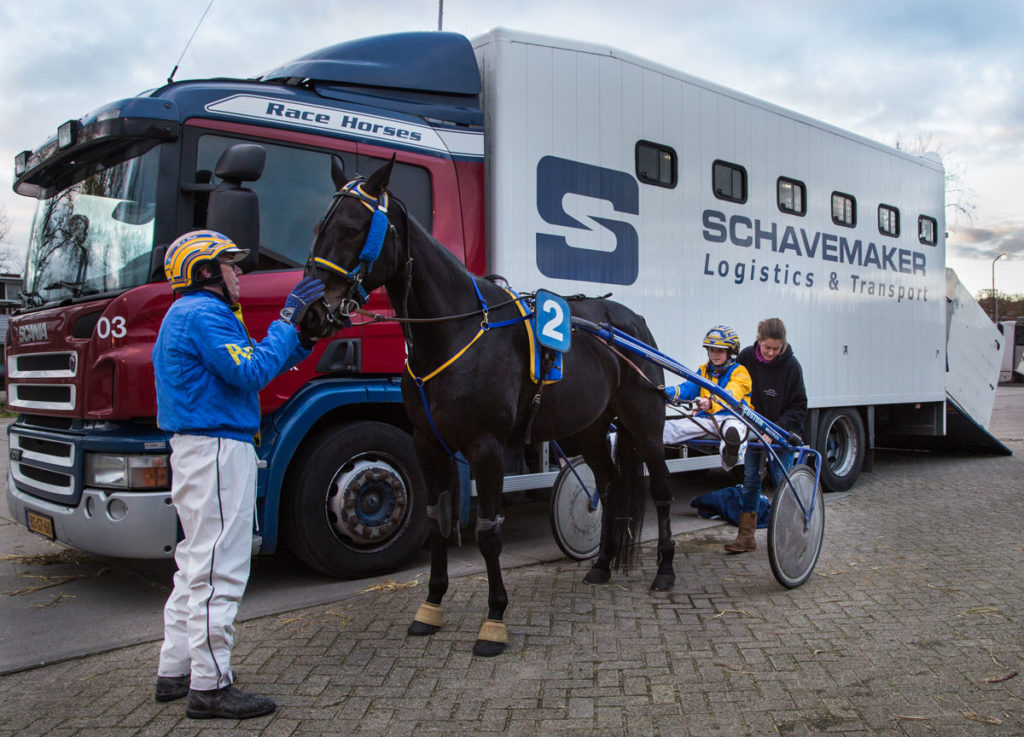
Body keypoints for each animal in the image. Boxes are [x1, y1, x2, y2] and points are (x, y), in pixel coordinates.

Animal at [299, 156, 675, 655]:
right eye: (319, 226)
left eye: (353, 227)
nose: (310, 314)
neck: (455, 332)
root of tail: (632, 323)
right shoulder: (428, 444)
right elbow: (436, 521)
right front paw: (431, 606)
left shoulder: (486, 447)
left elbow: (488, 532)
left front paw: (494, 619)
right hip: (590, 428)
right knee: (610, 483)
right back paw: (601, 565)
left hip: (645, 422)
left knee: (662, 489)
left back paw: (665, 570)